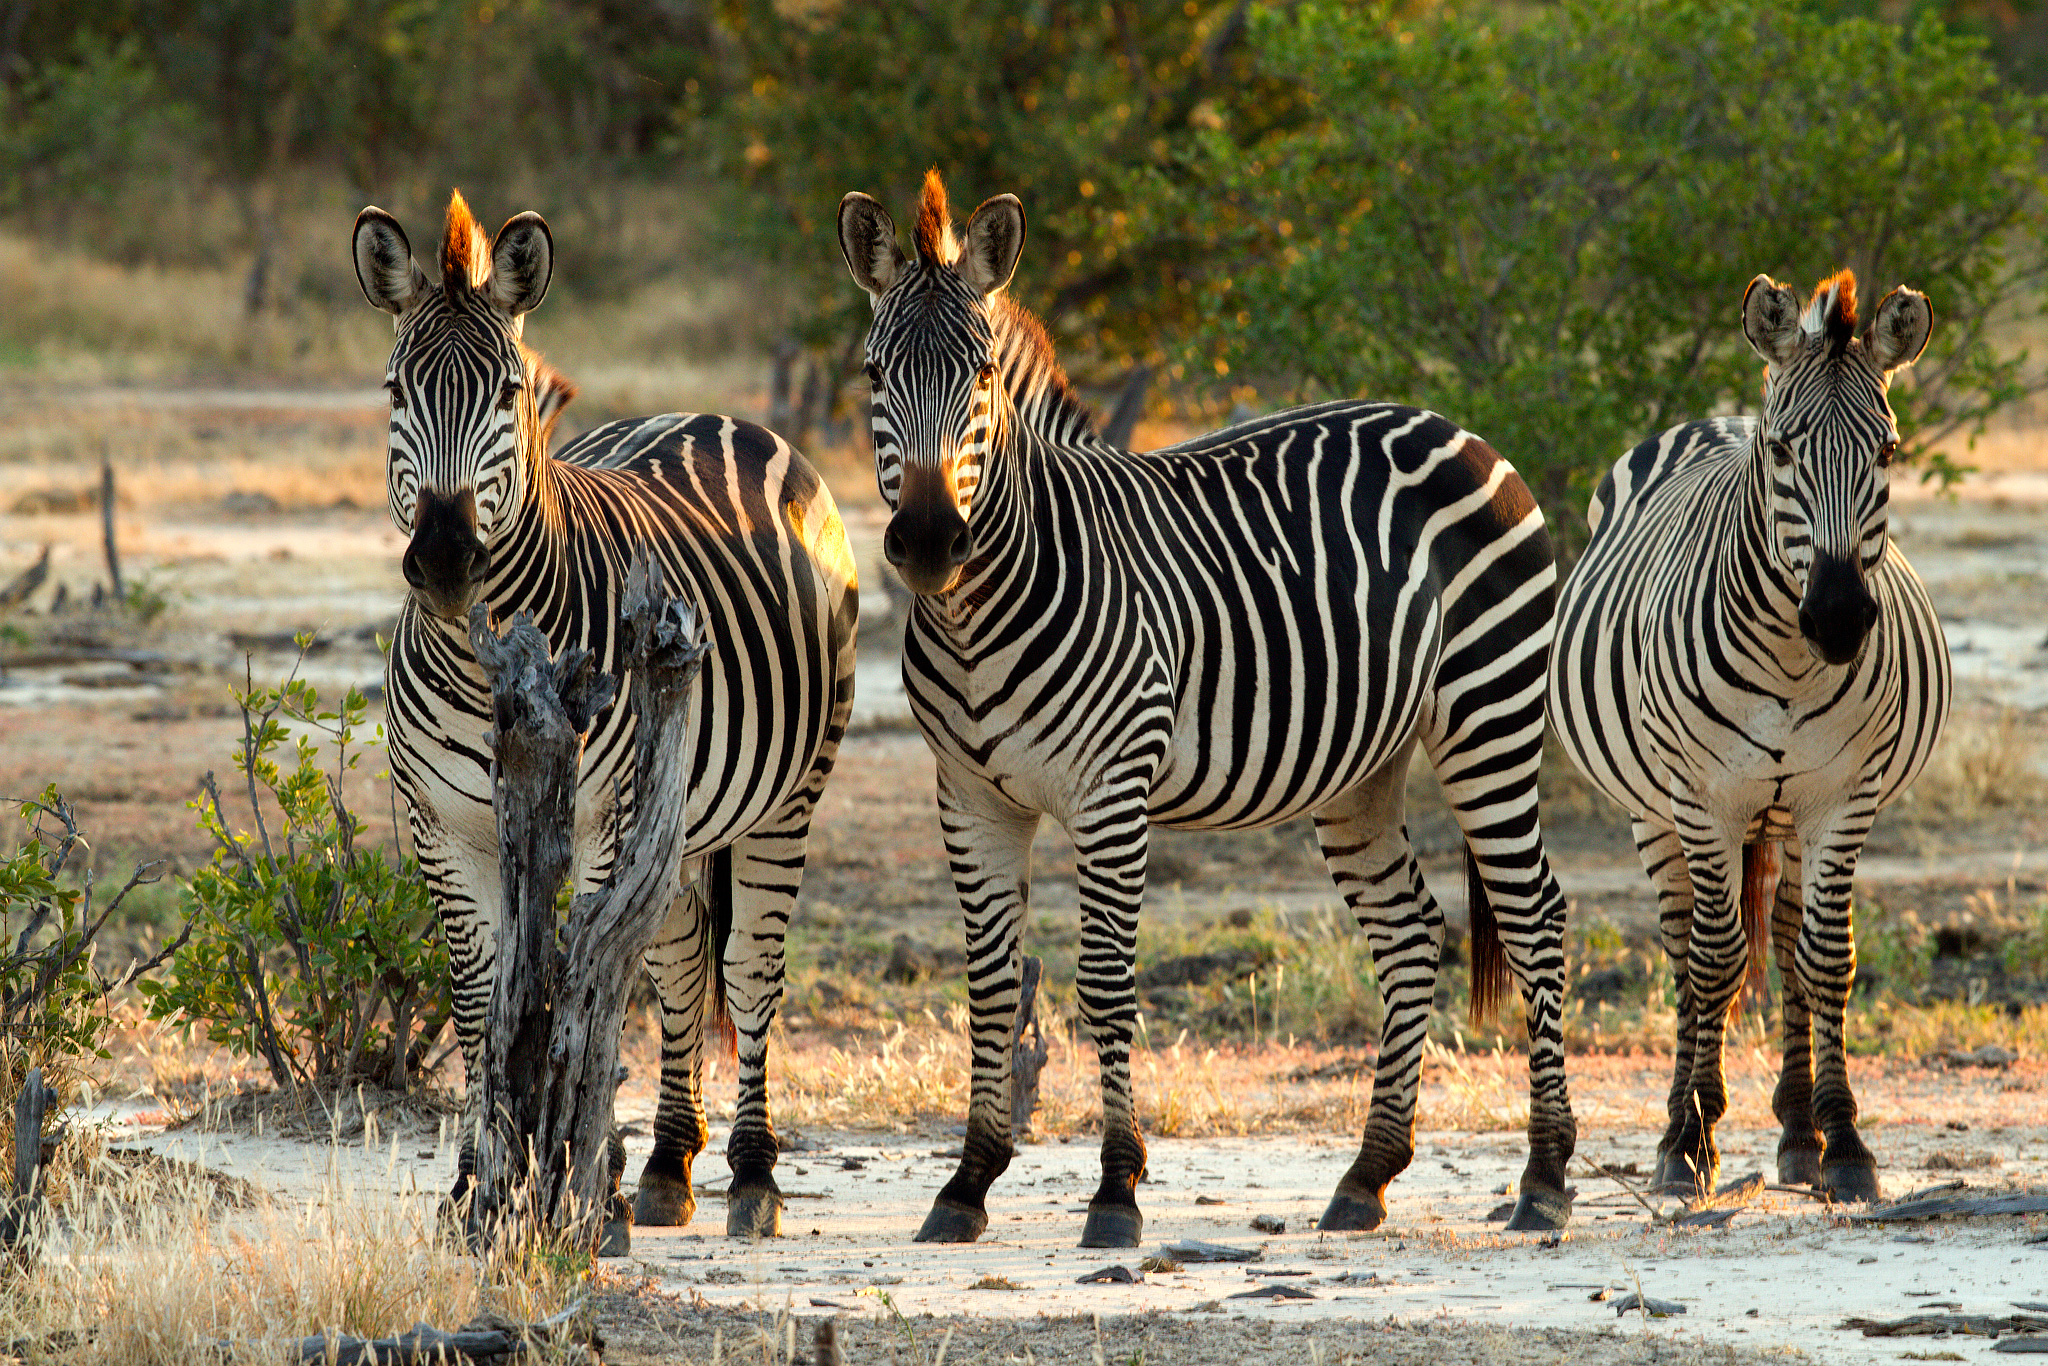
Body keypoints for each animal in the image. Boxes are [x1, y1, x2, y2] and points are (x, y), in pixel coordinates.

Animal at [352, 191, 858, 1238]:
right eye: (394, 391)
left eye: (507, 392)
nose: (447, 559)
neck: (486, 661)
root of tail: (715, 415)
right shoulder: (441, 828)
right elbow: (482, 999)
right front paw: (479, 1182)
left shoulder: (603, 816)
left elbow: (589, 987)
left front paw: (582, 1188)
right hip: (682, 811)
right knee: (678, 958)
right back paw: (666, 1165)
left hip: (788, 793)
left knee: (746, 967)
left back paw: (749, 1175)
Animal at [837, 171, 1578, 1246]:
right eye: (870, 375)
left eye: (979, 376)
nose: (931, 541)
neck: (980, 612)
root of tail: (1452, 425)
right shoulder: (970, 799)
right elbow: (987, 986)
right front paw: (966, 1184)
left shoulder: (1111, 793)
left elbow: (1106, 986)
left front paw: (1115, 1190)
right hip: (1363, 763)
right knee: (1408, 928)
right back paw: (1367, 1175)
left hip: (1490, 709)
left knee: (1534, 914)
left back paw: (1544, 1176)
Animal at [1546, 270, 1950, 1201]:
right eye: (1784, 454)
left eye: (1888, 454)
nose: (1838, 619)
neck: (1791, 667)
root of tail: (1723, 413)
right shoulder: (1704, 798)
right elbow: (1715, 957)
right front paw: (1690, 1140)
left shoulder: (1844, 797)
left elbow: (1825, 957)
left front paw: (1846, 1143)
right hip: (1653, 809)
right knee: (1685, 942)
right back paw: (1681, 1119)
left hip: (1791, 813)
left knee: (1791, 936)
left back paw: (1799, 1131)